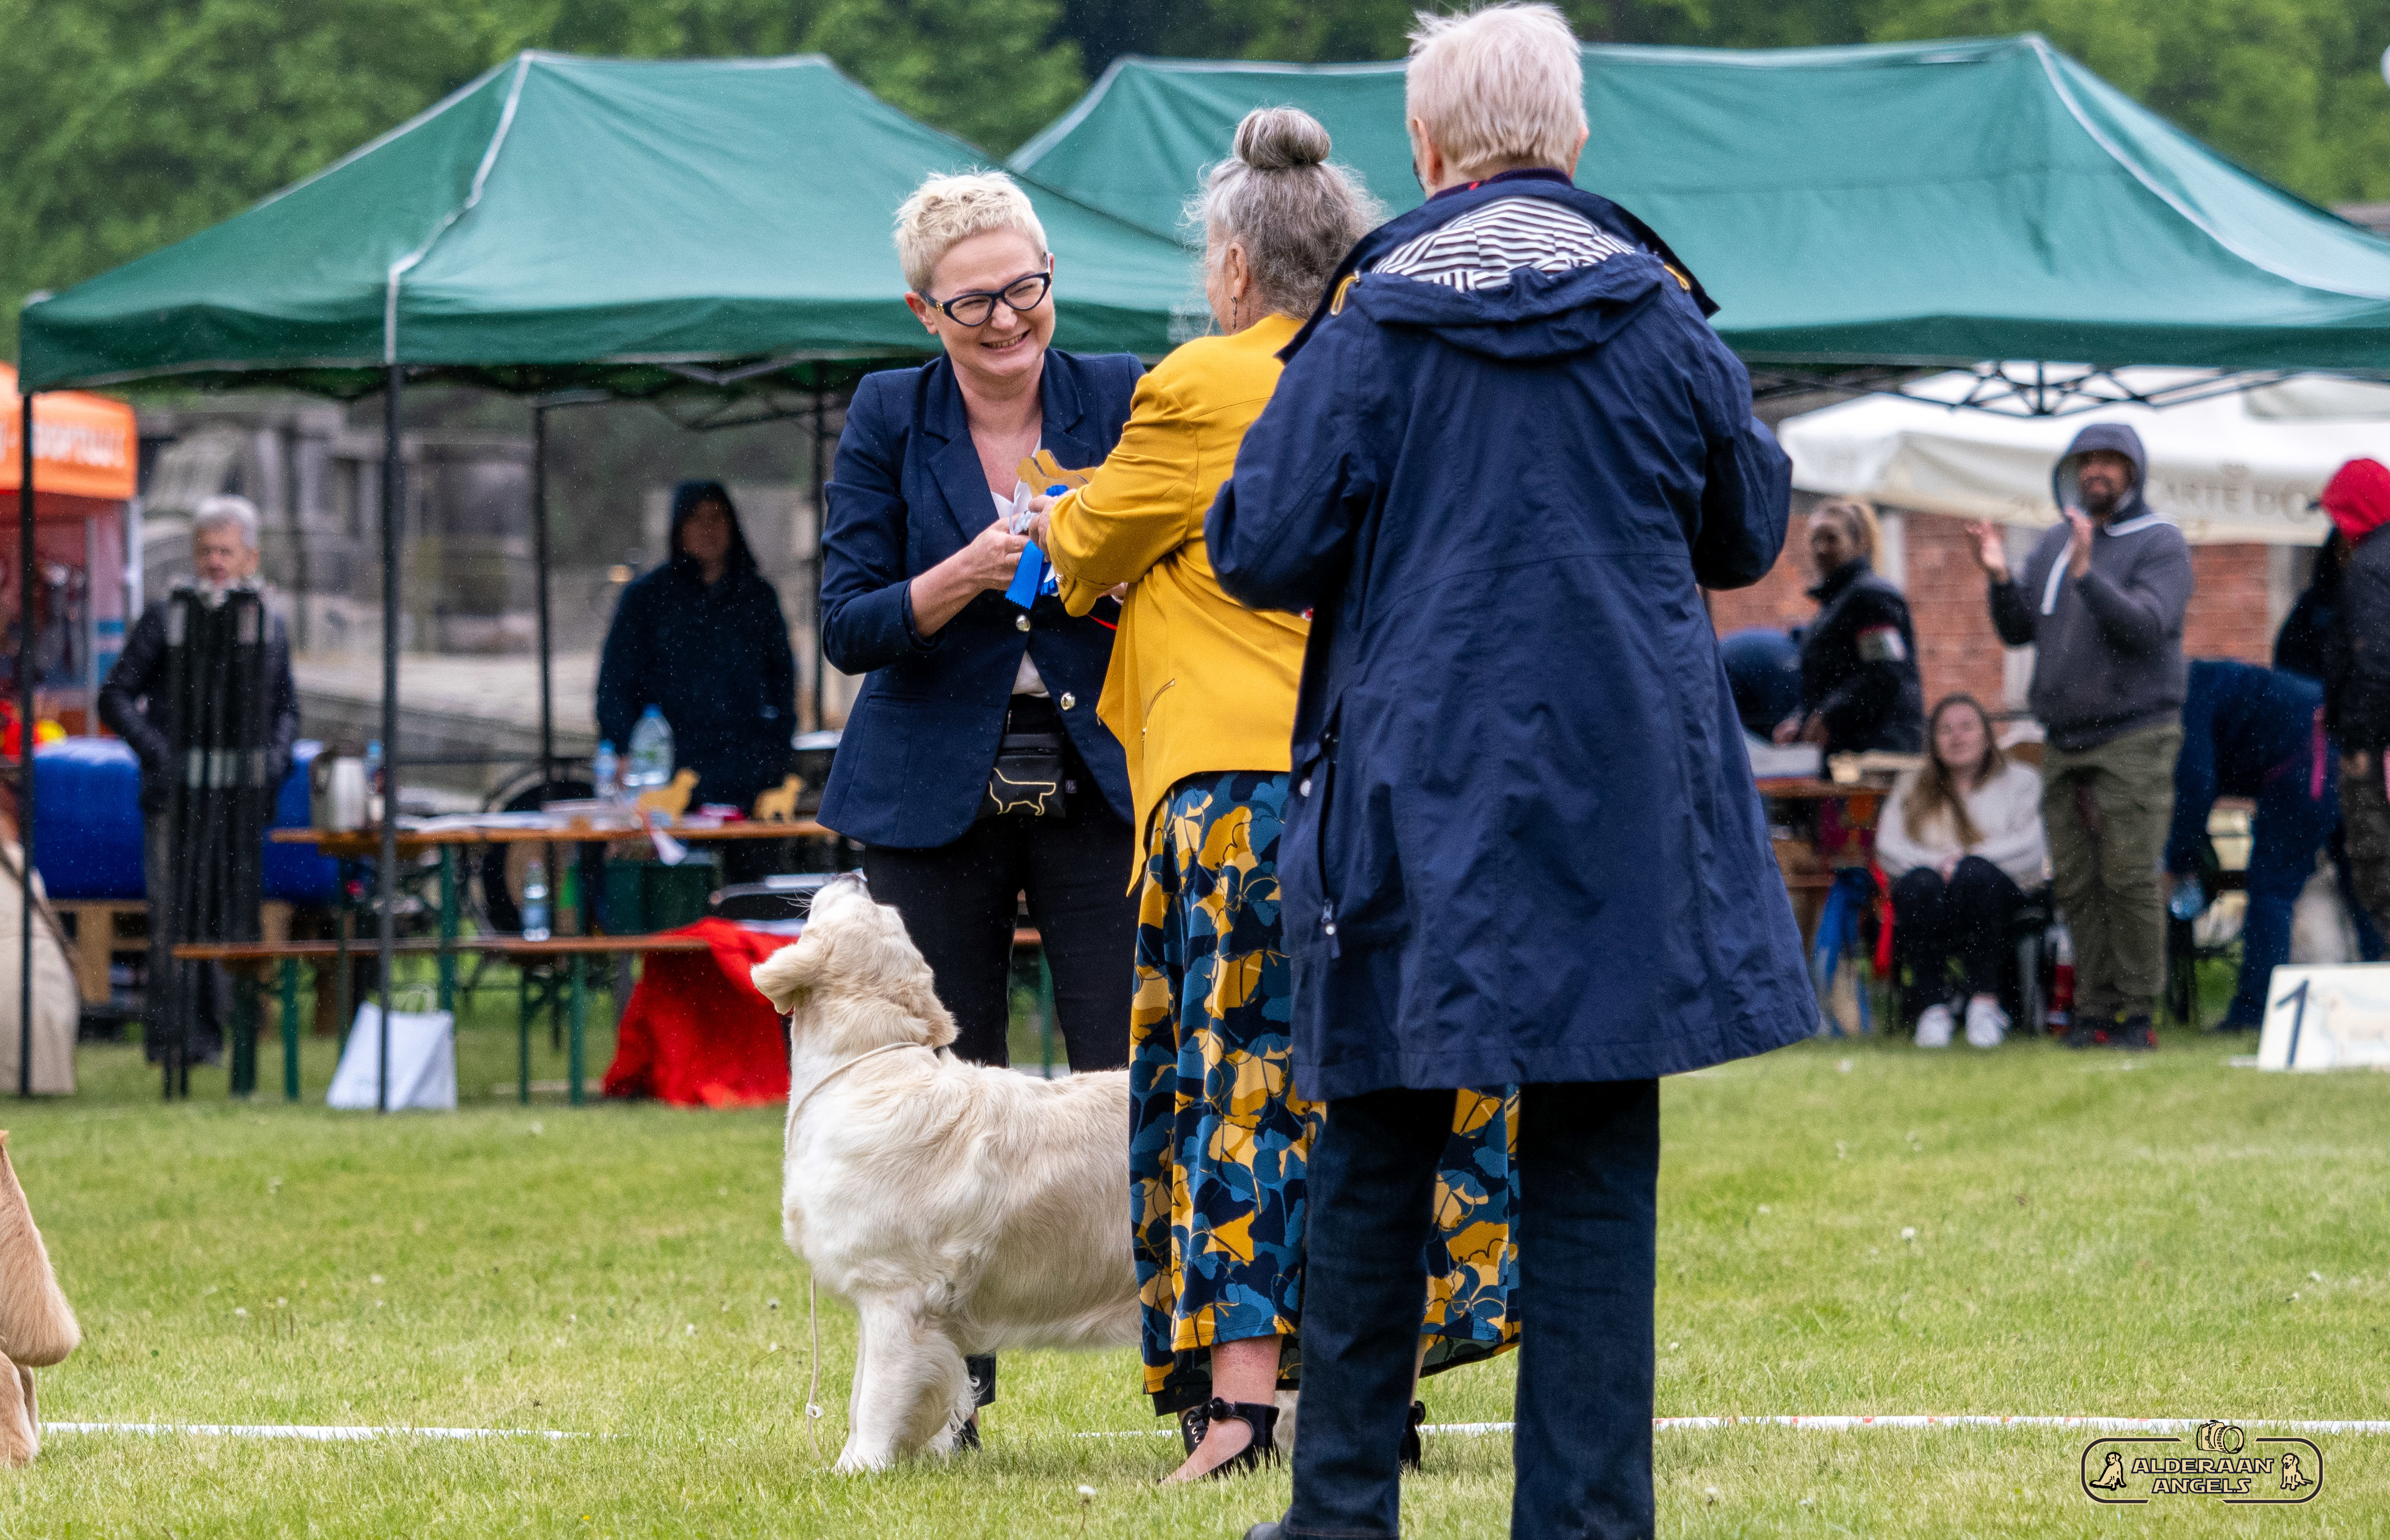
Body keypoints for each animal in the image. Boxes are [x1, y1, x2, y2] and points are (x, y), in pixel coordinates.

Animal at [751, 874, 1137, 1471]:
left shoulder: (894, 1292)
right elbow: (862, 1392)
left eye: (862, 905)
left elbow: (876, 1396)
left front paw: (860, 1470)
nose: (852, 876)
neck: (870, 1068)